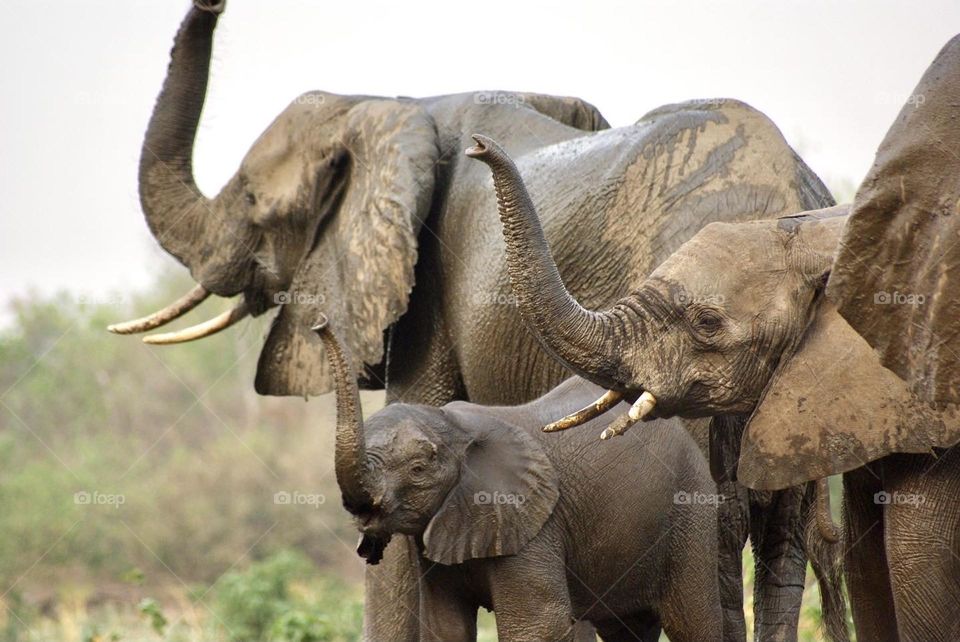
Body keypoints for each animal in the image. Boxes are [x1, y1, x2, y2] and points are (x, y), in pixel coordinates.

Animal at [316, 320, 720, 640]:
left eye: (417, 469)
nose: (320, 324)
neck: (455, 428)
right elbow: (444, 625)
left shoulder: (532, 526)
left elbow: (539, 624)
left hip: (690, 508)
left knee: (694, 620)